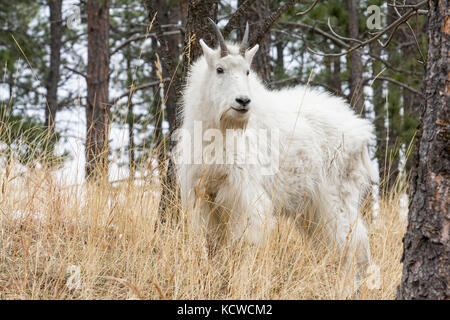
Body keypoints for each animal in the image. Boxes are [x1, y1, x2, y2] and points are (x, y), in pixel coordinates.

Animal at [174, 18, 378, 282]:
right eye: (219, 69)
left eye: (247, 71)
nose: (243, 101)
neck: (220, 133)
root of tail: (362, 130)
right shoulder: (204, 197)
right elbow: (212, 245)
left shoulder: (246, 197)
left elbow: (244, 244)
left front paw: (239, 283)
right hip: (313, 207)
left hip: (337, 197)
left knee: (351, 241)